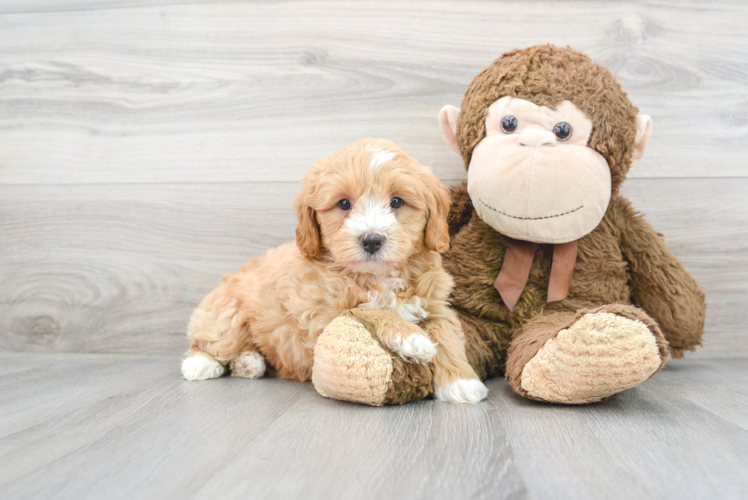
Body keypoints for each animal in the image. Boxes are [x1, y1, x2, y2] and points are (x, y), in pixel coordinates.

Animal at [180, 139, 486, 404]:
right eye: (344, 204)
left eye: (397, 202)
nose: (371, 240)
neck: (377, 277)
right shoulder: (320, 315)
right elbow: (366, 310)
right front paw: (411, 336)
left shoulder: (435, 303)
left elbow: (446, 334)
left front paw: (461, 382)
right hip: (227, 313)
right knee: (209, 340)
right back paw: (201, 364)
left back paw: (249, 362)